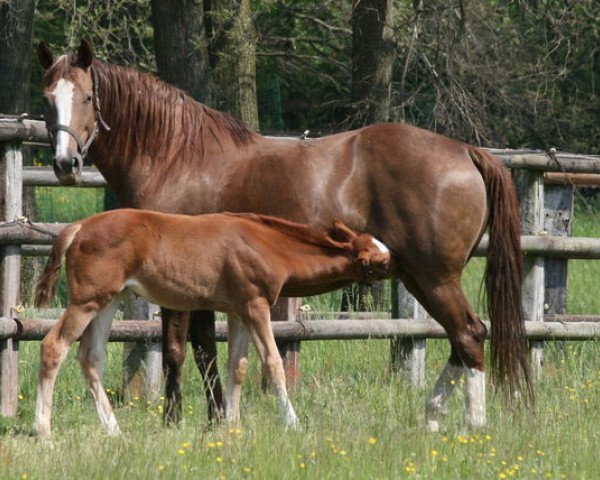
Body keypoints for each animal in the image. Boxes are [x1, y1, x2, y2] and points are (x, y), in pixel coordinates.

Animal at [34, 209, 390, 436]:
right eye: (381, 261)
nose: (398, 267)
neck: (267, 245)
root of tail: (79, 226)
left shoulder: (238, 311)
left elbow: (238, 366)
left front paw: (232, 425)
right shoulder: (255, 305)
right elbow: (273, 362)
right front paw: (292, 423)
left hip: (109, 300)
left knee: (91, 357)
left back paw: (113, 430)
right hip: (87, 300)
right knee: (53, 347)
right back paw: (43, 430)